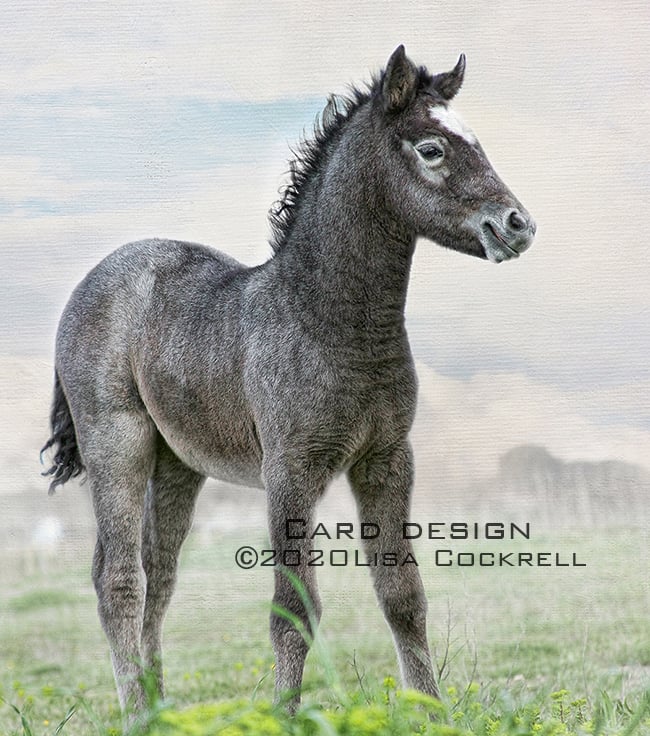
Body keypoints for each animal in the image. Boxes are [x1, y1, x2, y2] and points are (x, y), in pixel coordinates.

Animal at [42, 45, 536, 717]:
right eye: (432, 148)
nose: (518, 225)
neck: (331, 322)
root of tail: (93, 280)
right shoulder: (289, 470)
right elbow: (293, 608)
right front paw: (284, 715)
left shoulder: (387, 460)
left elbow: (402, 595)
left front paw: (429, 711)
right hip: (116, 444)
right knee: (118, 578)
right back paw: (138, 715)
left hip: (177, 465)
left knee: (159, 572)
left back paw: (163, 709)